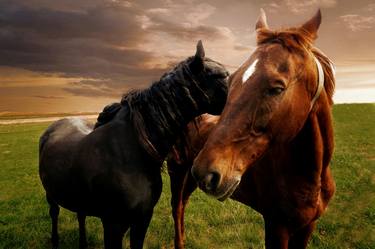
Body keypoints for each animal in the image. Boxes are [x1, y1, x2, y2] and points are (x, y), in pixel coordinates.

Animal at [40, 41, 229, 249]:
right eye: (219, 75)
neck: (132, 152)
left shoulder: (142, 219)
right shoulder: (114, 225)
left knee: (80, 216)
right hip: (51, 196)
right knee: (54, 213)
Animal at [170, 9, 334, 247]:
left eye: (277, 88)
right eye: (231, 81)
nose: (205, 172)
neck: (309, 177)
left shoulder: (307, 227)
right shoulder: (276, 227)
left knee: (183, 203)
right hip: (178, 171)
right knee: (177, 207)